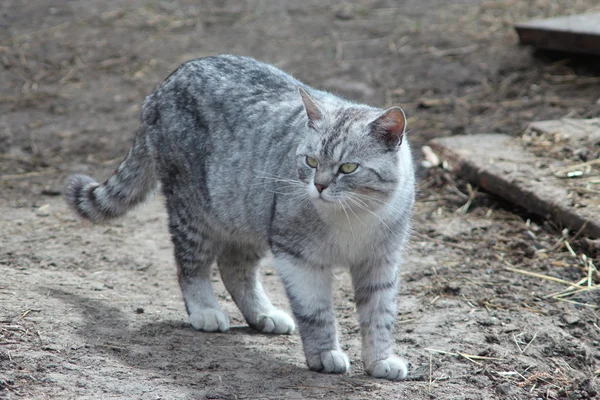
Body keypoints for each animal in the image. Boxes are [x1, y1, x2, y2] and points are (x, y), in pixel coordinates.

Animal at [64, 54, 412, 380]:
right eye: (311, 161)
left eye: (348, 168)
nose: (319, 185)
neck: (353, 216)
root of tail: (166, 83)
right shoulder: (298, 257)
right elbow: (315, 312)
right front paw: (325, 354)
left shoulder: (380, 261)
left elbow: (379, 315)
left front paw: (380, 360)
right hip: (194, 209)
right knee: (191, 264)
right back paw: (205, 309)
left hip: (246, 214)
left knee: (234, 267)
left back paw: (263, 314)